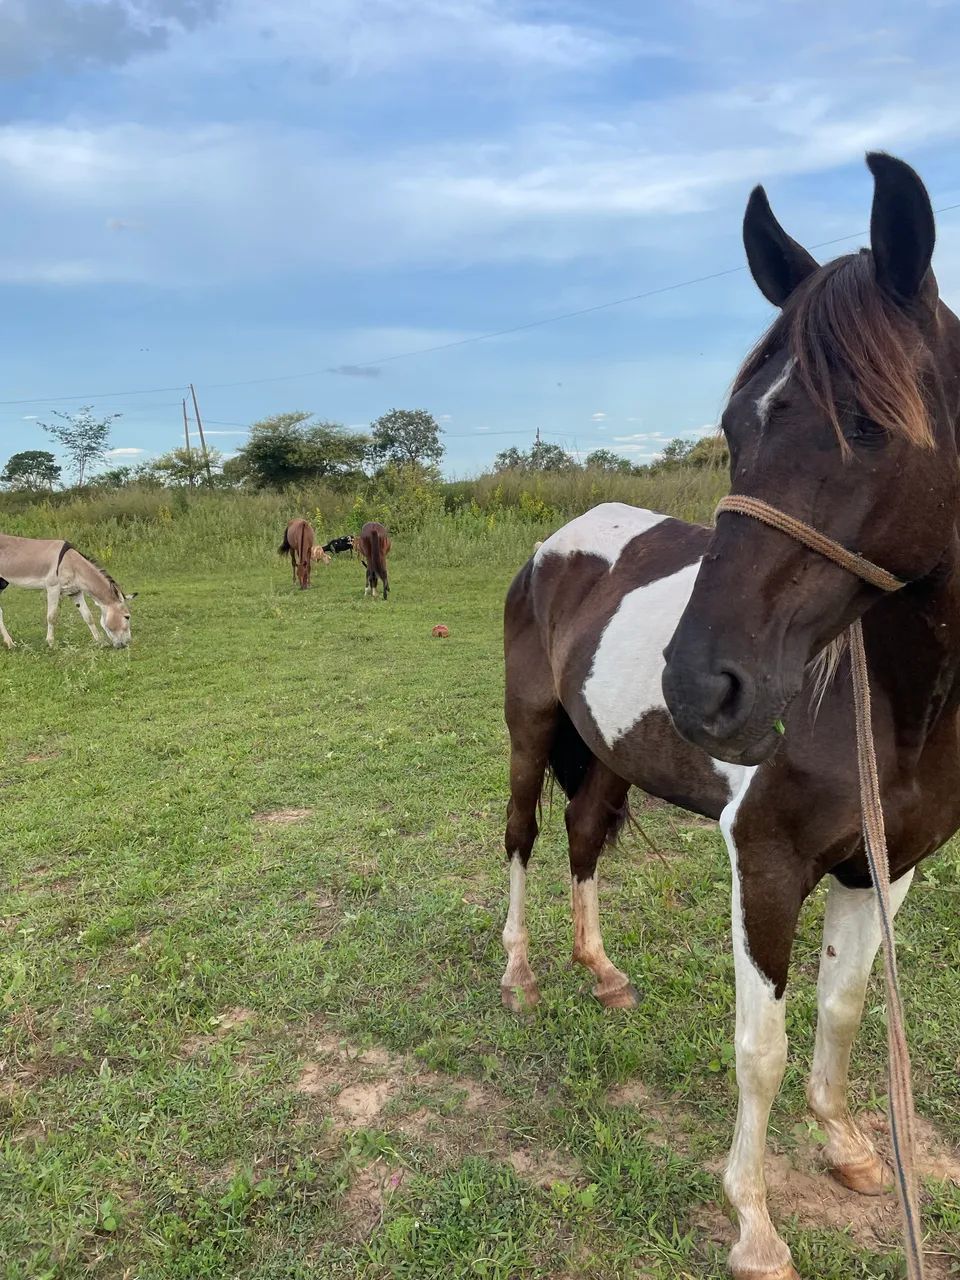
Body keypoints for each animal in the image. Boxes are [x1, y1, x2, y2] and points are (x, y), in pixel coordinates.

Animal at [0, 534, 135, 649]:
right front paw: (51, 643)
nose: (127, 644)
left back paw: (9, 643)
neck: (72, 563)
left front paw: (100, 641)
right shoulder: (53, 588)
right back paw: (10, 643)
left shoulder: (75, 592)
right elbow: (52, 617)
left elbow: (88, 616)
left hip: (2, 584)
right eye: (127, 617)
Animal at [500, 153, 960, 1280]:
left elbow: (843, 1008)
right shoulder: (767, 860)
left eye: (871, 424)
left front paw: (849, 1147)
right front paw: (753, 1221)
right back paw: (521, 972)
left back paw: (600, 973)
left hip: (609, 751)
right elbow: (762, 1044)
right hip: (531, 731)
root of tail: (560, 540)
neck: (892, 702)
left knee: (583, 836)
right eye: (735, 425)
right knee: (523, 833)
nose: (702, 685)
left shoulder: (888, 864)